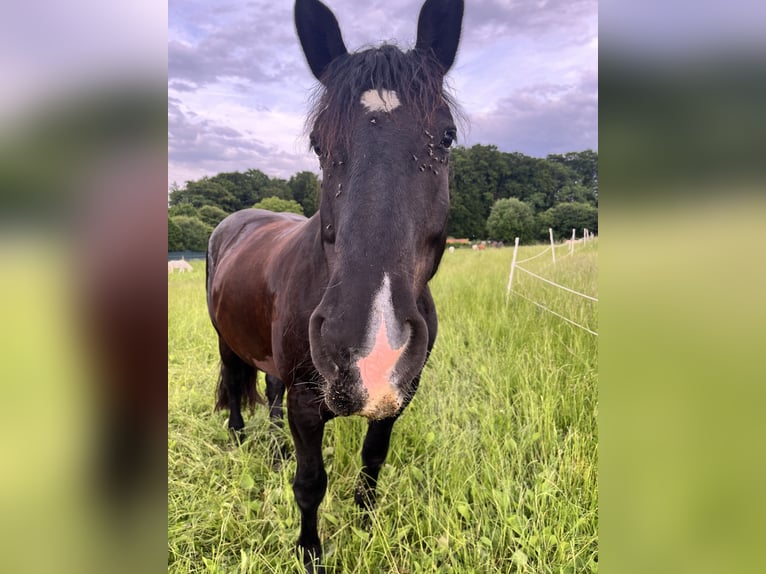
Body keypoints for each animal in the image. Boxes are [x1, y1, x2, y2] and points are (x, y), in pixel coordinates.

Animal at [205, 0, 464, 571]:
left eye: (446, 137)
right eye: (318, 143)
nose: (372, 349)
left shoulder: (399, 394)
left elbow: (372, 462)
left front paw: (366, 526)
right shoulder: (307, 403)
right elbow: (309, 484)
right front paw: (310, 553)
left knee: (269, 391)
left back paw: (272, 445)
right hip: (227, 341)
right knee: (235, 384)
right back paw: (239, 439)